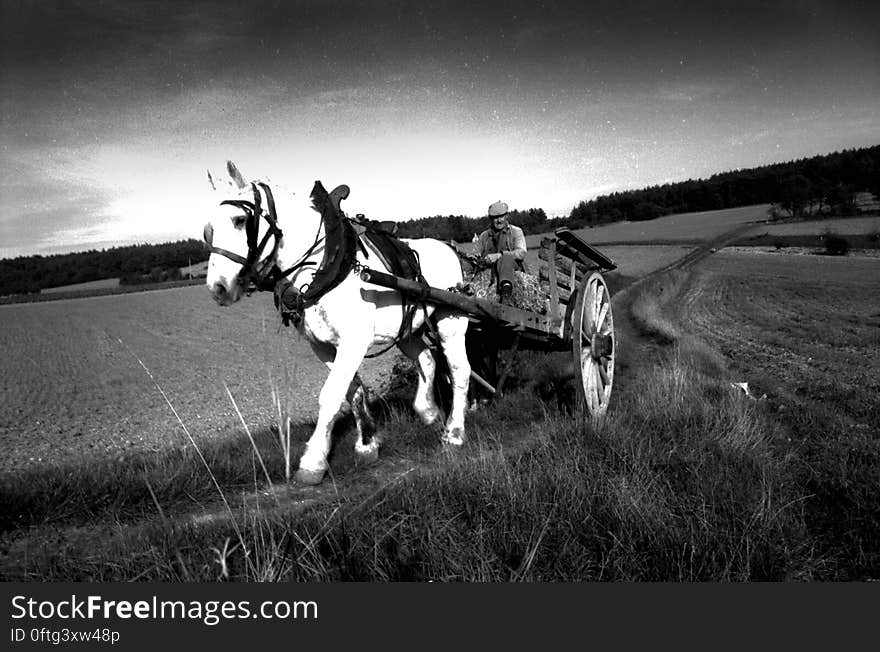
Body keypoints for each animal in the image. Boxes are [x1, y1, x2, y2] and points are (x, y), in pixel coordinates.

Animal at [203, 161, 470, 484]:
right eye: (208, 230)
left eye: (240, 220)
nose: (218, 288)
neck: (327, 265)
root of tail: (449, 249)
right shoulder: (324, 346)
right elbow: (352, 392)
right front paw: (367, 443)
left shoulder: (354, 341)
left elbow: (329, 396)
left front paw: (313, 461)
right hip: (406, 329)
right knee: (427, 359)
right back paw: (428, 410)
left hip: (450, 320)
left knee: (459, 370)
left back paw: (454, 433)